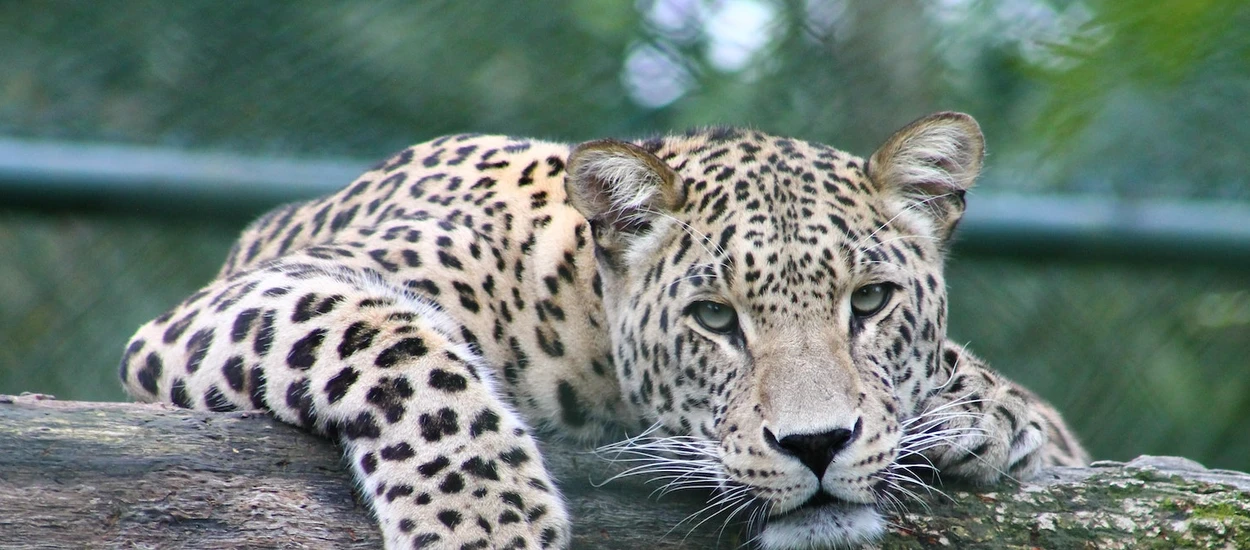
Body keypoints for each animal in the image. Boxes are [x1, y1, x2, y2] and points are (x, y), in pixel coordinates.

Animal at [121, 112, 1090, 550]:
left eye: (870, 303)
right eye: (714, 318)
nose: (817, 445)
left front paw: (986, 411)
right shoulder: (229, 304)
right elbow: (392, 340)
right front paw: (488, 525)